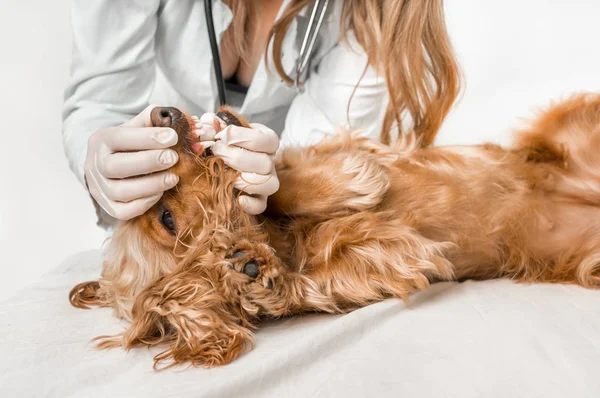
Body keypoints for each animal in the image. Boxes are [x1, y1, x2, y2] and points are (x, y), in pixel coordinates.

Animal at [72, 94, 600, 370]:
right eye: (166, 220)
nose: (161, 113)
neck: (283, 241)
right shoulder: (398, 257)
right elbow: (316, 283)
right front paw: (256, 276)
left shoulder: (327, 150)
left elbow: (286, 186)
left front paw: (351, 180)